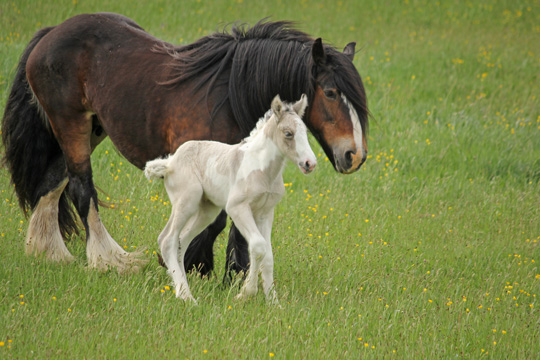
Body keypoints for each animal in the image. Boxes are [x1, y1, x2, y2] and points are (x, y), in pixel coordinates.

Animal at [0, 11, 370, 276]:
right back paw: (109, 260)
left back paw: (49, 253)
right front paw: (190, 262)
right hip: (71, 124)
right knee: (80, 187)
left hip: (91, 128)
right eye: (331, 92)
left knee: (52, 182)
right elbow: (216, 220)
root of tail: (52, 33)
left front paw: (233, 273)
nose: (355, 155)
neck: (227, 97)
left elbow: (234, 223)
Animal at [146, 94, 318, 302]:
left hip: (207, 210)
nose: (310, 163)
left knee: (182, 241)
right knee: (168, 240)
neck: (263, 170)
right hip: (186, 201)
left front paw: (273, 302)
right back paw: (186, 296)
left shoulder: (265, 212)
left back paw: (183, 289)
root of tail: (170, 162)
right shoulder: (237, 207)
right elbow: (258, 246)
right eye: (288, 133)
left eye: (305, 133)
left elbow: (268, 256)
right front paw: (245, 293)